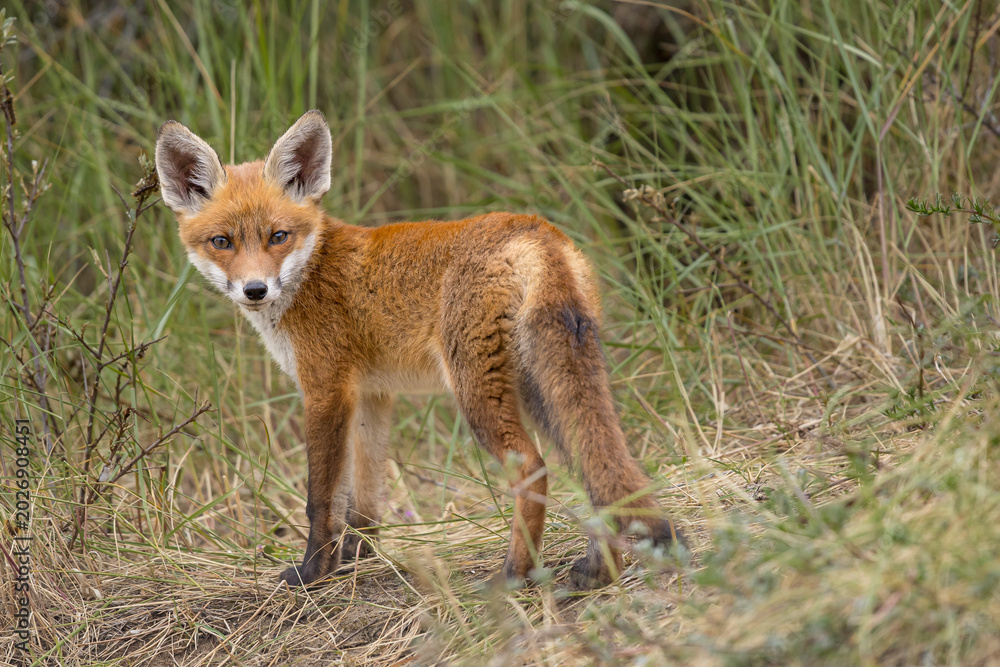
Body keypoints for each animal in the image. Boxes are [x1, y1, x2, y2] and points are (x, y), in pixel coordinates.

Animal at [154, 110, 680, 589]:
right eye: (222, 242)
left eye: (277, 236)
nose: (255, 290)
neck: (312, 271)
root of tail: (535, 229)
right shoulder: (370, 395)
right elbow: (364, 498)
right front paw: (357, 557)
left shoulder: (325, 391)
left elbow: (320, 498)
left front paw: (313, 573)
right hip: (549, 386)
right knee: (598, 469)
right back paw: (598, 572)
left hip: (477, 391)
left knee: (534, 471)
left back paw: (514, 575)